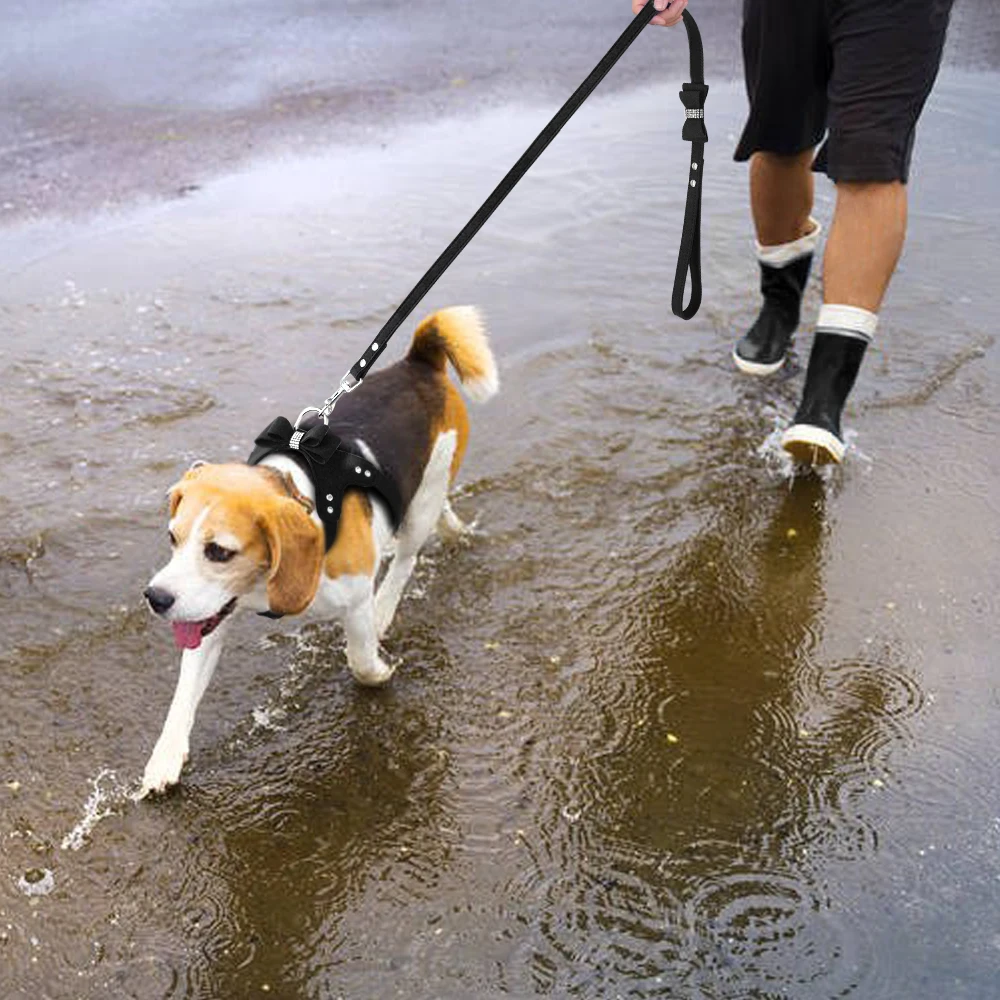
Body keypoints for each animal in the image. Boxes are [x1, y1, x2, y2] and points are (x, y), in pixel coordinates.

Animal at [139, 306, 498, 796]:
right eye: (172, 539)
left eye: (219, 552)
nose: (156, 598)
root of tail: (417, 362)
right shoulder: (210, 616)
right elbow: (182, 695)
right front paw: (165, 759)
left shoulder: (355, 597)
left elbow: (360, 660)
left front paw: (380, 671)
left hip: (422, 502)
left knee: (406, 558)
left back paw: (388, 606)